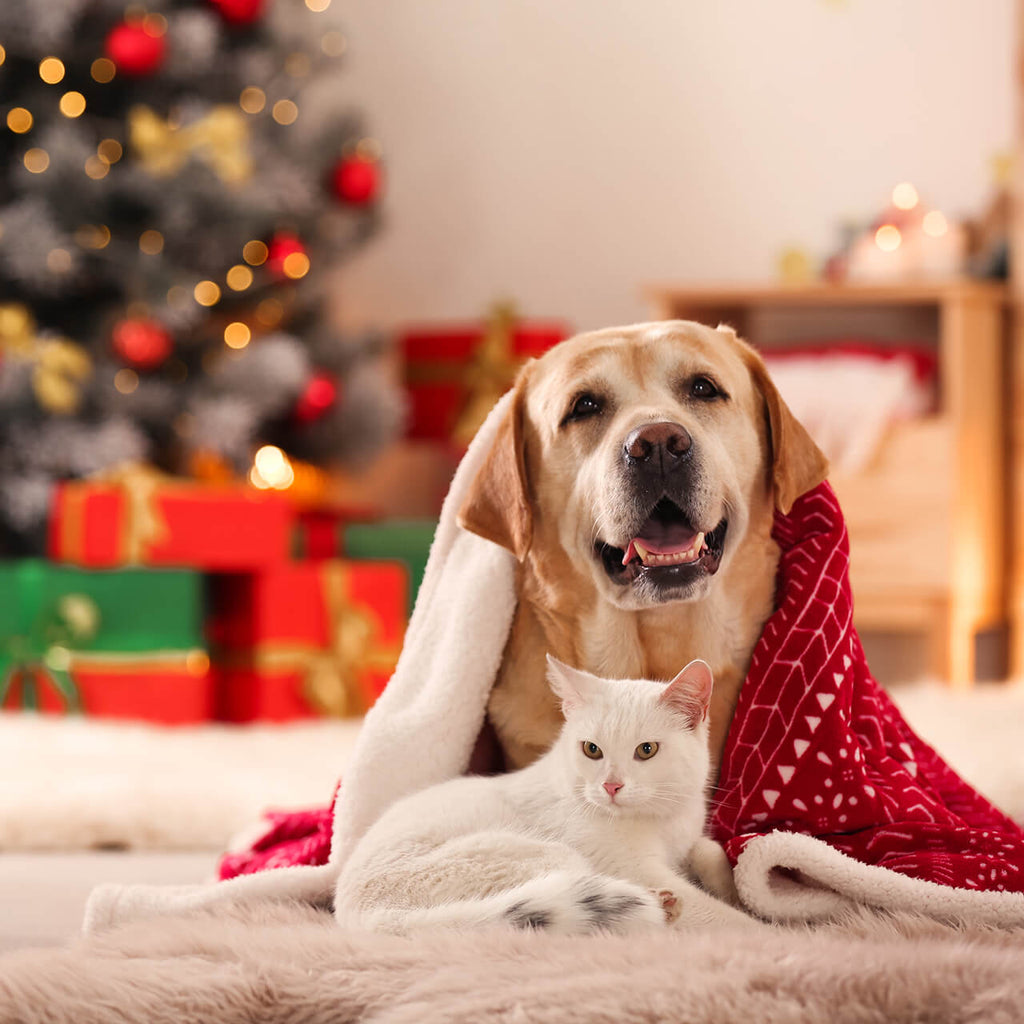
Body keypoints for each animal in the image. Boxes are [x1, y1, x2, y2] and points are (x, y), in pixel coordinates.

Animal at [335, 655, 753, 937]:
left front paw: (729, 885)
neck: (659, 817)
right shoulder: (628, 865)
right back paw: (661, 906)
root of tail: (369, 921)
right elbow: (723, 917)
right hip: (541, 856)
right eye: (592, 750)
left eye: (646, 750)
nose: (611, 786)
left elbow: (708, 850)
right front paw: (762, 932)